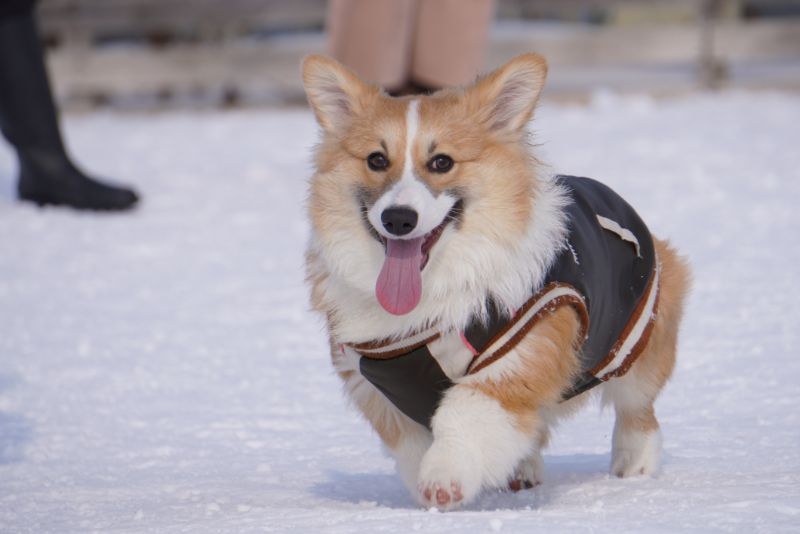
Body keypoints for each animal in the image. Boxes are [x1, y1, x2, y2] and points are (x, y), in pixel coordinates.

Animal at [304, 53, 692, 510]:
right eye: (377, 160)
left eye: (441, 162)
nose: (398, 219)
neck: (432, 294)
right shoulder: (377, 385)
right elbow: (413, 447)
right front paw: (428, 488)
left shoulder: (519, 353)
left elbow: (464, 413)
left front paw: (445, 478)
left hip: (635, 339)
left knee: (637, 406)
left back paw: (634, 463)